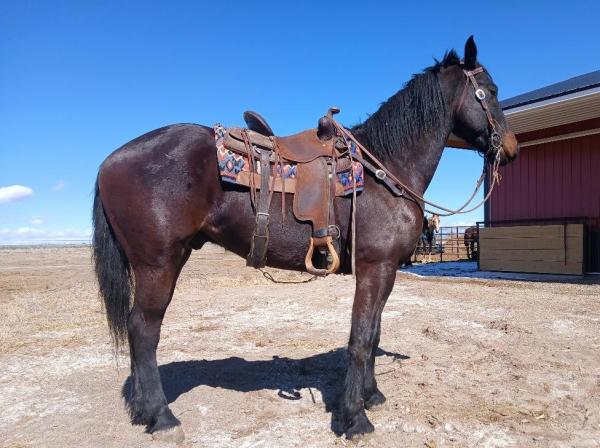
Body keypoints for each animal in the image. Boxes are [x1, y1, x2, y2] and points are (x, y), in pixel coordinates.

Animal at [92, 36, 519, 441]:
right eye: (491, 90)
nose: (511, 147)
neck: (385, 168)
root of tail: (111, 160)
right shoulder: (375, 267)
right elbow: (361, 337)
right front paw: (354, 418)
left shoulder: (385, 271)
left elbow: (374, 331)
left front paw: (371, 396)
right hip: (158, 263)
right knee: (143, 330)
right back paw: (162, 417)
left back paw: (144, 411)